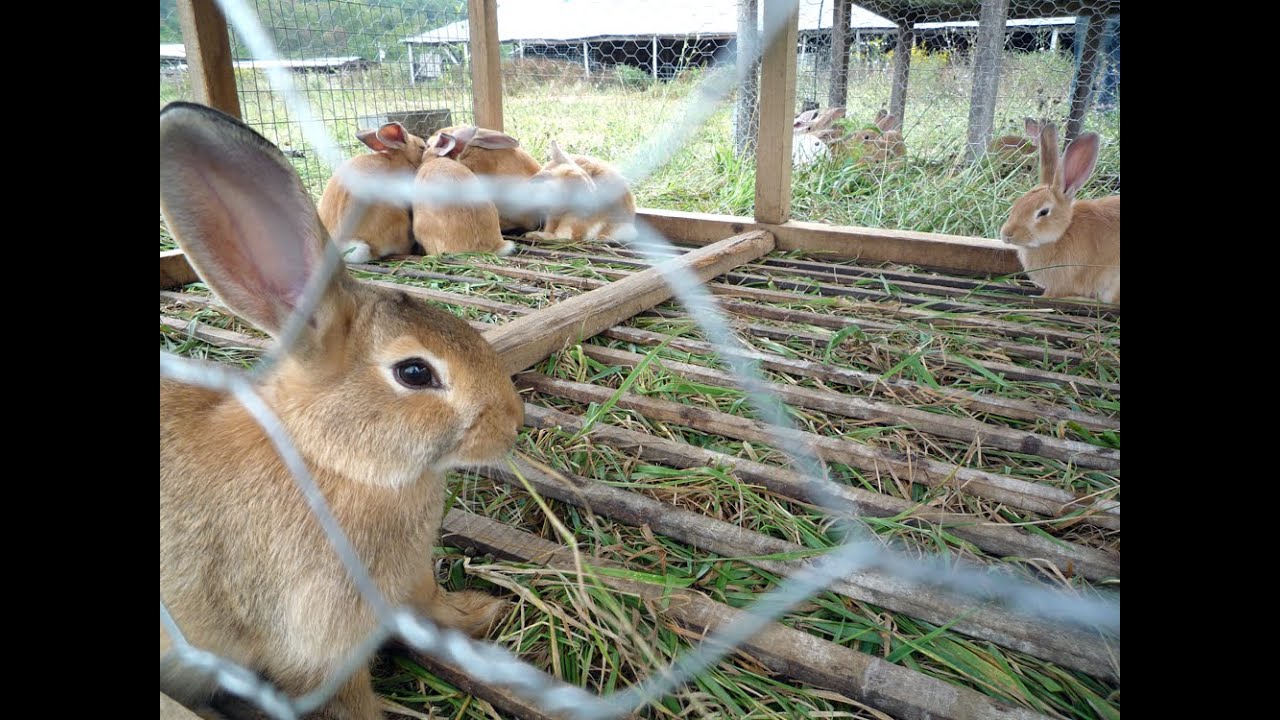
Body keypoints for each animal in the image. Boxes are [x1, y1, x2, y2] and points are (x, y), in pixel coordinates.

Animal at [999, 122, 1119, 304]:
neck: (1062, 233)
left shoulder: (1062, 282)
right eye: (1017, 203)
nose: (1007, 234)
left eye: (1043, 212)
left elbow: (1052, 294)